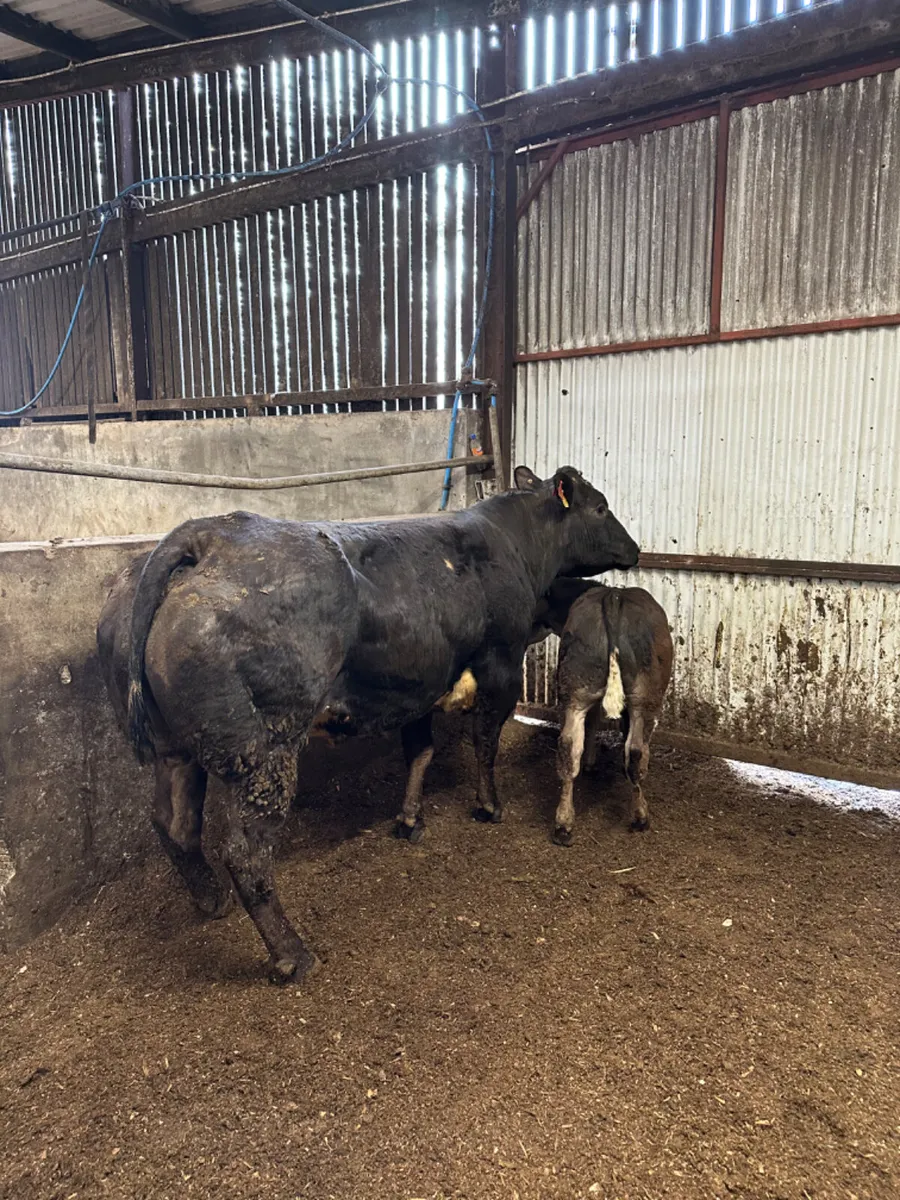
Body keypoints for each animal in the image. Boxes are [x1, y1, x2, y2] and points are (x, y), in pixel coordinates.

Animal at [97, 465, 639, 983]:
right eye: (601, 506)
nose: (635, 549)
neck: (515, 542)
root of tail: (210, 534)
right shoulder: (500, 664)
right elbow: (485, 741)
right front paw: (489, 806)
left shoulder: (419, 686)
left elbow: (420, 752)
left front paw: (410, 819)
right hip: (265, 752)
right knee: (245, 852)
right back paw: (293, 956)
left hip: (174, 748)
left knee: (174, 824)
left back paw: (212, 902)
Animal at [529, 578, 673, 845]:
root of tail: (613, 596)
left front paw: (590, 762)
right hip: (644, 697)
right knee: (635, 751)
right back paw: (641, 815)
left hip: (575, 691)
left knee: (568, 747)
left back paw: (563, 824)